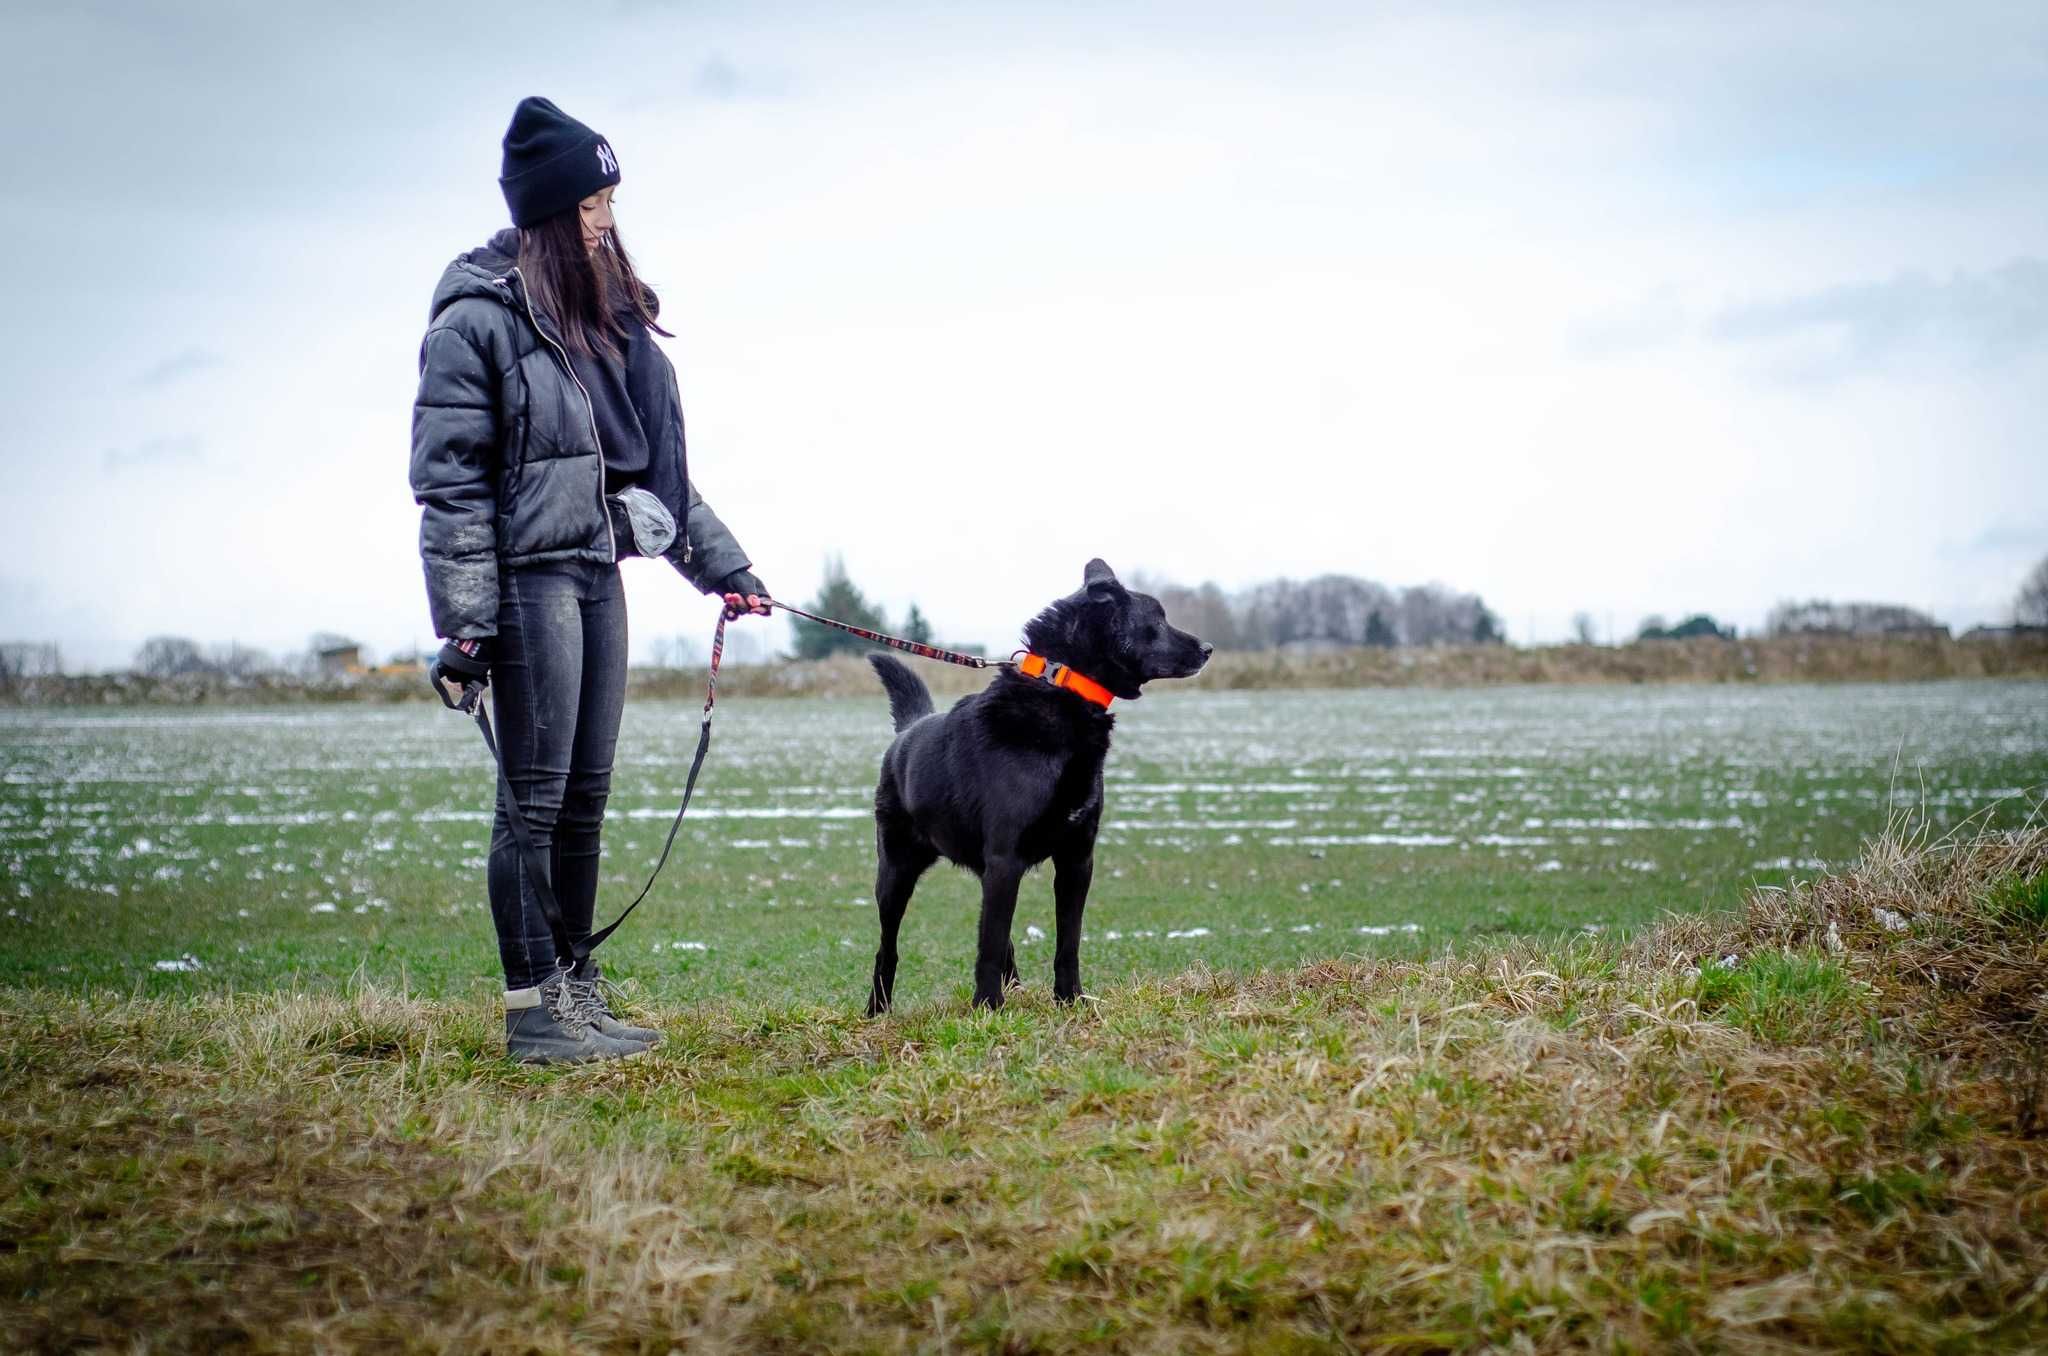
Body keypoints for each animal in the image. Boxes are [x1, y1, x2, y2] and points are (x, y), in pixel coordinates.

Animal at [860, 557, 1204, 1015]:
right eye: (1158, 619)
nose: (1208, 649)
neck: (1062, 687)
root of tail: (907, 732)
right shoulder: (1006, 858)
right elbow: (988, 945)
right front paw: (988, 1007)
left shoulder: (1076, 859)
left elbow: (1067, 942)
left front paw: (1070, 999)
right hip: (896, 872)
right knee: (889, 947)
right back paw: (878, 1009)